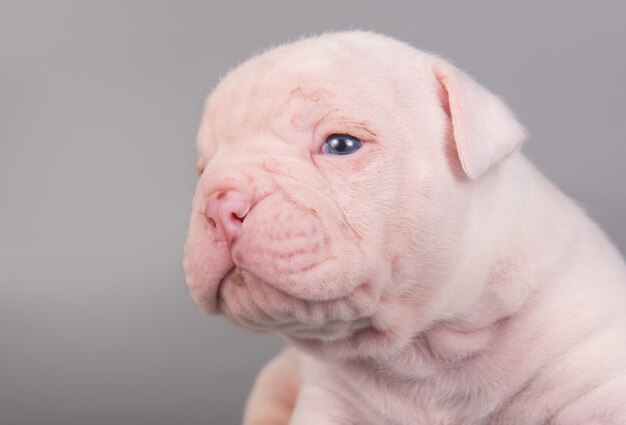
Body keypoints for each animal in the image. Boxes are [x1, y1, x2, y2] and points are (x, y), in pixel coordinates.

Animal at [183, 31, 624, 422]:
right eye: (202, 169)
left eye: (341, 144)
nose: (220, 202)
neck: (422, 350)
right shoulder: (329, 400)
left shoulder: (592, 374)